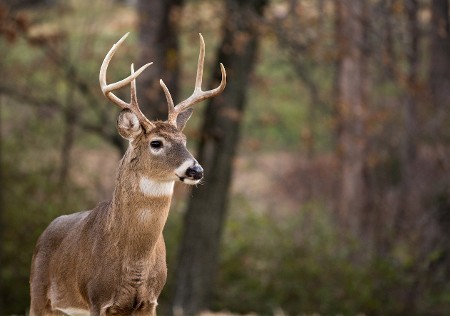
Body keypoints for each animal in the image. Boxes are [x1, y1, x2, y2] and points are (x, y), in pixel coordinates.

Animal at [29, 32, 225, 316]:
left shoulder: (151, 301)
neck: (135, 261)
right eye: (156, 143)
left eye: (185, 140)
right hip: (39, 294)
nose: (195, 169)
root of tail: (45, 231)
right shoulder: (97, 298)